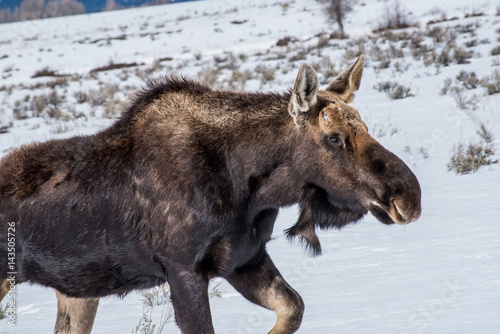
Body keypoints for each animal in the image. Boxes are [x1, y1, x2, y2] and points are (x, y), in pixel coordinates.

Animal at [0, 56, 422, 332]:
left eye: (364, 126)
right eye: (334, 137)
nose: (409, 197)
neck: (252, 190)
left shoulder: (245, 259)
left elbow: (294, 308)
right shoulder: (184, 269)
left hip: (78, 292)